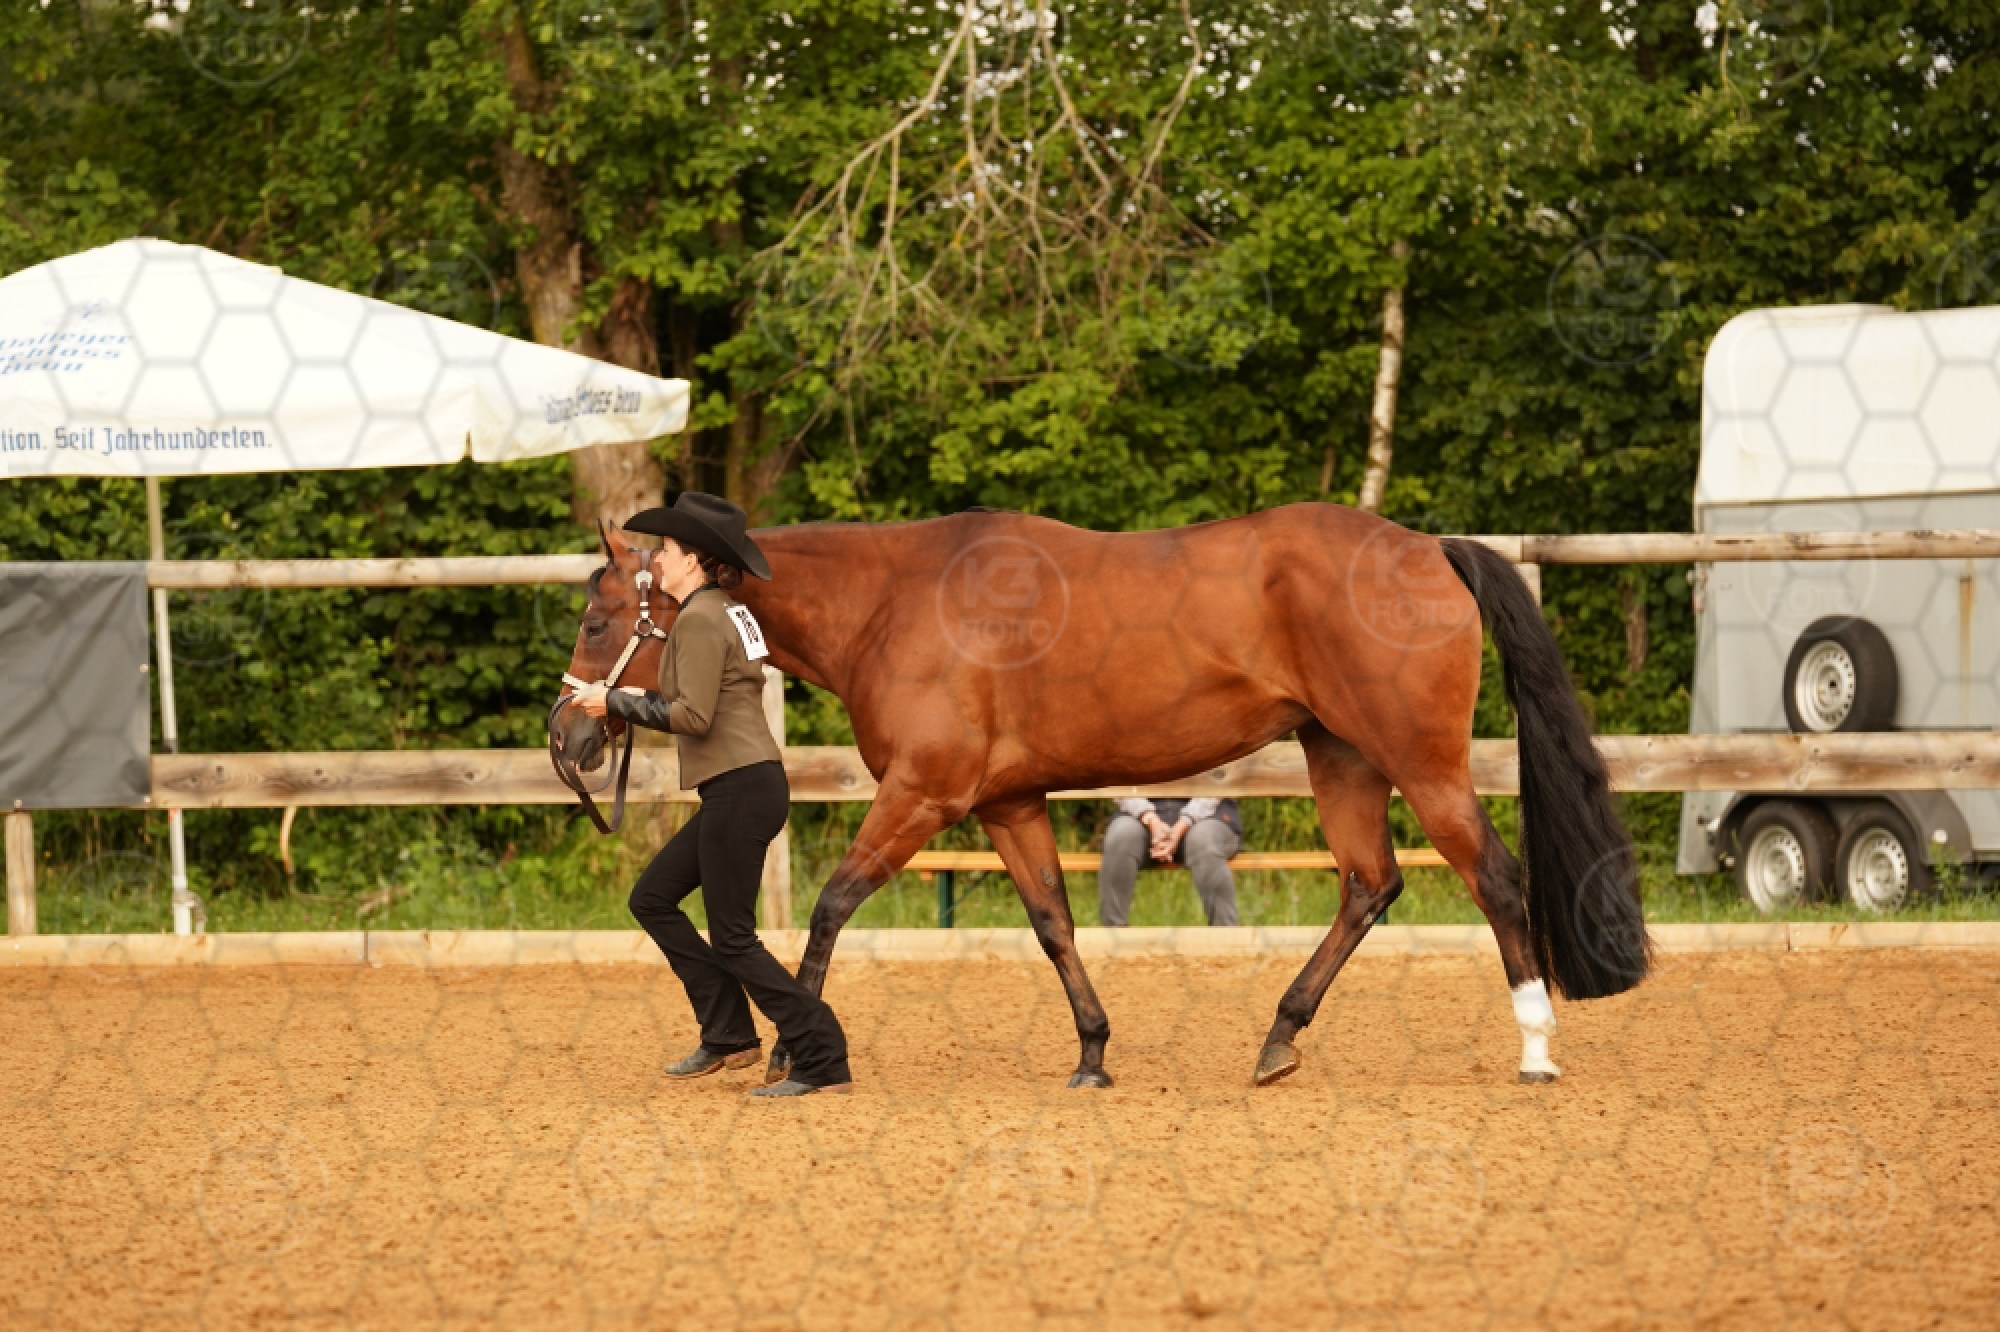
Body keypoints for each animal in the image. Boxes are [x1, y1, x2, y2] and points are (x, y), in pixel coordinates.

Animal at [548, 503, 1651, 1089]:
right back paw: (1277, 1039)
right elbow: (1054, 925)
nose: (569, 736)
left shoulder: (924, 795)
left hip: (1418, 763)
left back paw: (1535, 1049)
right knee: (1368, 885)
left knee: (1492, 877)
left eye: (599, 622)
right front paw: (1091, 1054)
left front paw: (792, 1055)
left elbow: (829, 907)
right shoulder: (1009, 804)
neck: (896, 601)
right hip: (1340, 757)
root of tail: (1428, 547)